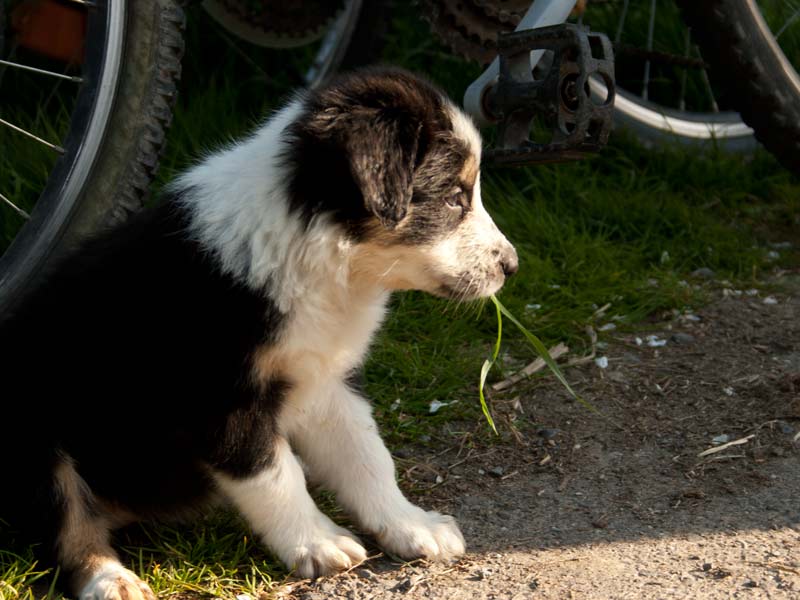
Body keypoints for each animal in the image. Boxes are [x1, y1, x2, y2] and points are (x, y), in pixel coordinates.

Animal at [0, 68, 520, 596]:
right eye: (455, 196)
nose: (512, 266)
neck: (318, 251)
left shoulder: (326, 378)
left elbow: (368, 457)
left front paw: (412, 525)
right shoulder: (223, 398)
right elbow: (275, 474)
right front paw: (319, 543)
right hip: (33, 429)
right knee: (67, 522)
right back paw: (112, 578)